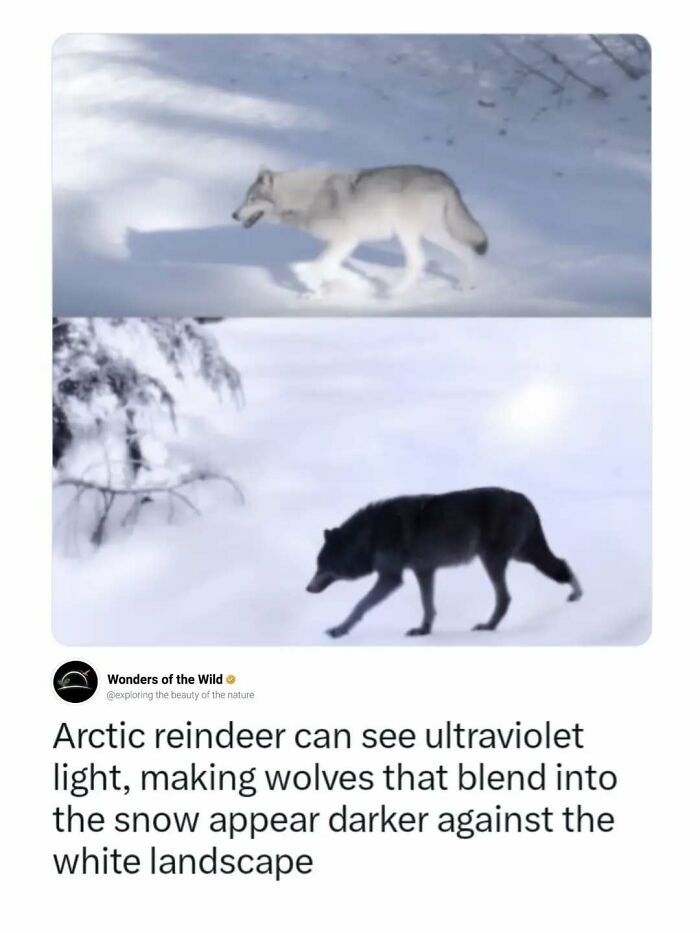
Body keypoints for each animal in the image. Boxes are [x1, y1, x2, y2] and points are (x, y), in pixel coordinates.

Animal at [232, 165, 488, 292]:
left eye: (251, 200)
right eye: (245, 198)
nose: (233, 215)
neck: (307, 199)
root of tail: (446, 178)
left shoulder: (346, 240)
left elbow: (319, 266)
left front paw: (313, 285)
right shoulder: (345, 243)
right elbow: (329, 268)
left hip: (411, 233)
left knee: (421, 261)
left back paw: (393, 295)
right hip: (426, 234)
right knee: (463, 251)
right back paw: (469, 285)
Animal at [306, 488, 582, 638]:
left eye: (321, 566)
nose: (307, 588)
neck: (371, 536)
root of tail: (525, 499)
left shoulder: (391, 578)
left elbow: (360, 605)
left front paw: (339, 630)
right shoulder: (424, 571)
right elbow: (428, 606)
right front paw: (423, 631)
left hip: (495, 560)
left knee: (506, 597)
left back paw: (488, 626)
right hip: (522, 555)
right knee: (562, 564)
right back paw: (576, 594)